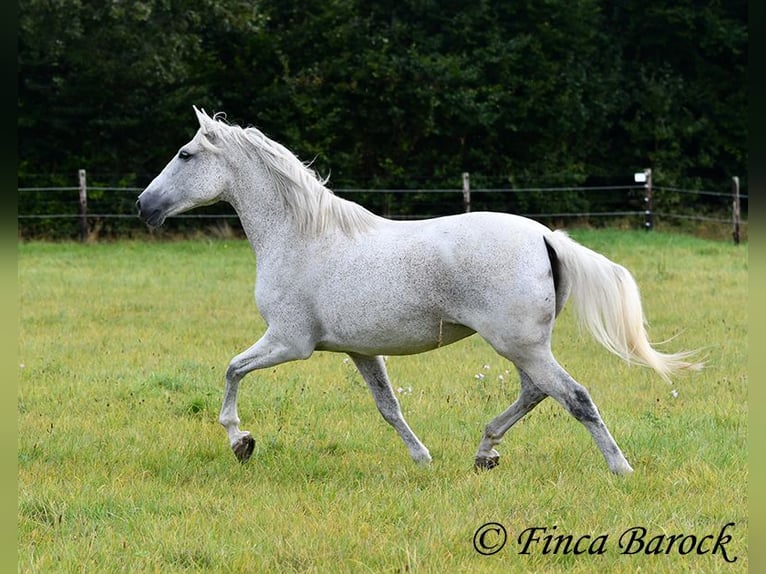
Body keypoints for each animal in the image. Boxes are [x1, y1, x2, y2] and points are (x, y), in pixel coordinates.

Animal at [136, 108, 704, 476]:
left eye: (185, 154)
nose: (144, 206)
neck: (301, 236)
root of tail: (546, 236)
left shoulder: (289, 343)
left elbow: (232, 370)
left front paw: (241, 442)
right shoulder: (360, 351)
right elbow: (388, 407)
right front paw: (422, 459)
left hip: (519, 345)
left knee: (574, 396)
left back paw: (619, 468)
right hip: (522, 346)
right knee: (536, 392)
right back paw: (484, 452)